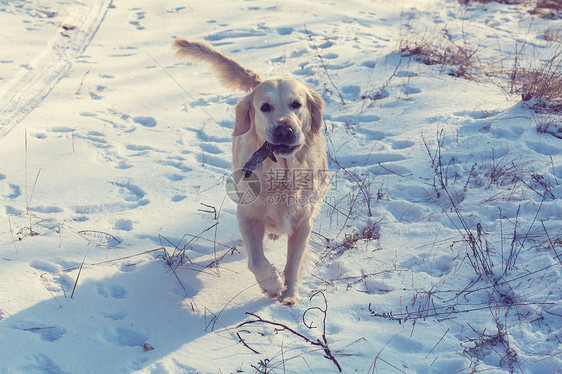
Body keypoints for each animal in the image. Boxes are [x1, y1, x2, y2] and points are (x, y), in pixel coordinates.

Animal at [173, 38, 326, 306]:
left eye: (297, 104)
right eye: (265, 107)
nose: (284, 130)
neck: (282, 173)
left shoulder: (303, 220)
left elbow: (294, 261)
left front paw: (290, 294)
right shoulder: (247, 215)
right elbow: (256, 261)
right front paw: (272, 284)